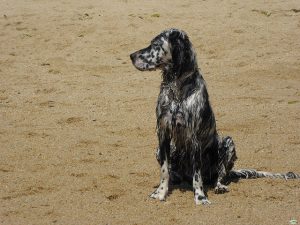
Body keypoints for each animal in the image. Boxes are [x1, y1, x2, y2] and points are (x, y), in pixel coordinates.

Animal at [130, 28, 298, 206]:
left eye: (155, 45)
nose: (131, 56)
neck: (178, 91)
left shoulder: (195, 139)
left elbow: (197, 175)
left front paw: (200, 197)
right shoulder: (163, 133)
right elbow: (164, 170)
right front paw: (160, 193)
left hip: (228, 142)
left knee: (220, 175)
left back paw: (219, 186)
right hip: (159, 150)